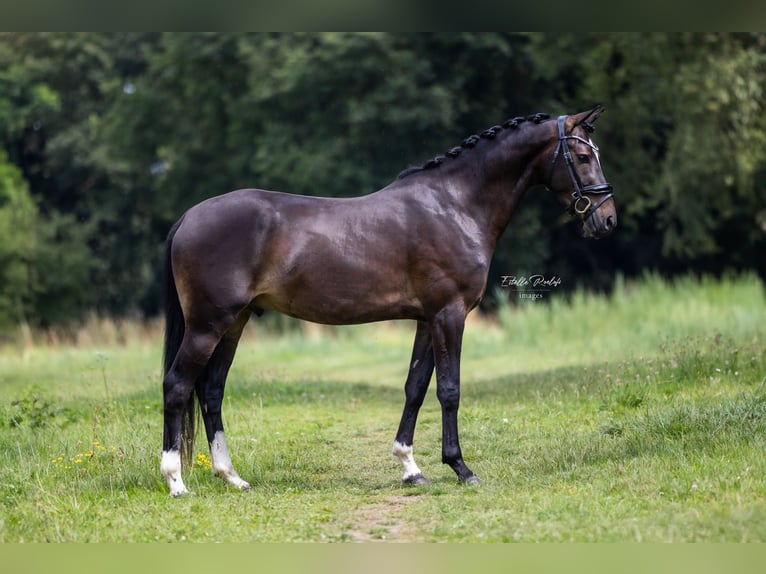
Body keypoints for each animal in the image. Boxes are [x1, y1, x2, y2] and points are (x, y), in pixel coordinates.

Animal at [159, 106, 616, 498]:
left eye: (595, 153)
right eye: (581, 156)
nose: (607, 219)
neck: (454, 205)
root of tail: (187, 218)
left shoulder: (427, 319)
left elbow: (415, 387)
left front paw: (410, 468)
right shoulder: (450, 315)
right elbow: (449, 389)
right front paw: (461, 468)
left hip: (233, 324)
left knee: (211, 391)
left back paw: (232, 477)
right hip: (207, 326)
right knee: (177, 385)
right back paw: (176, 481)